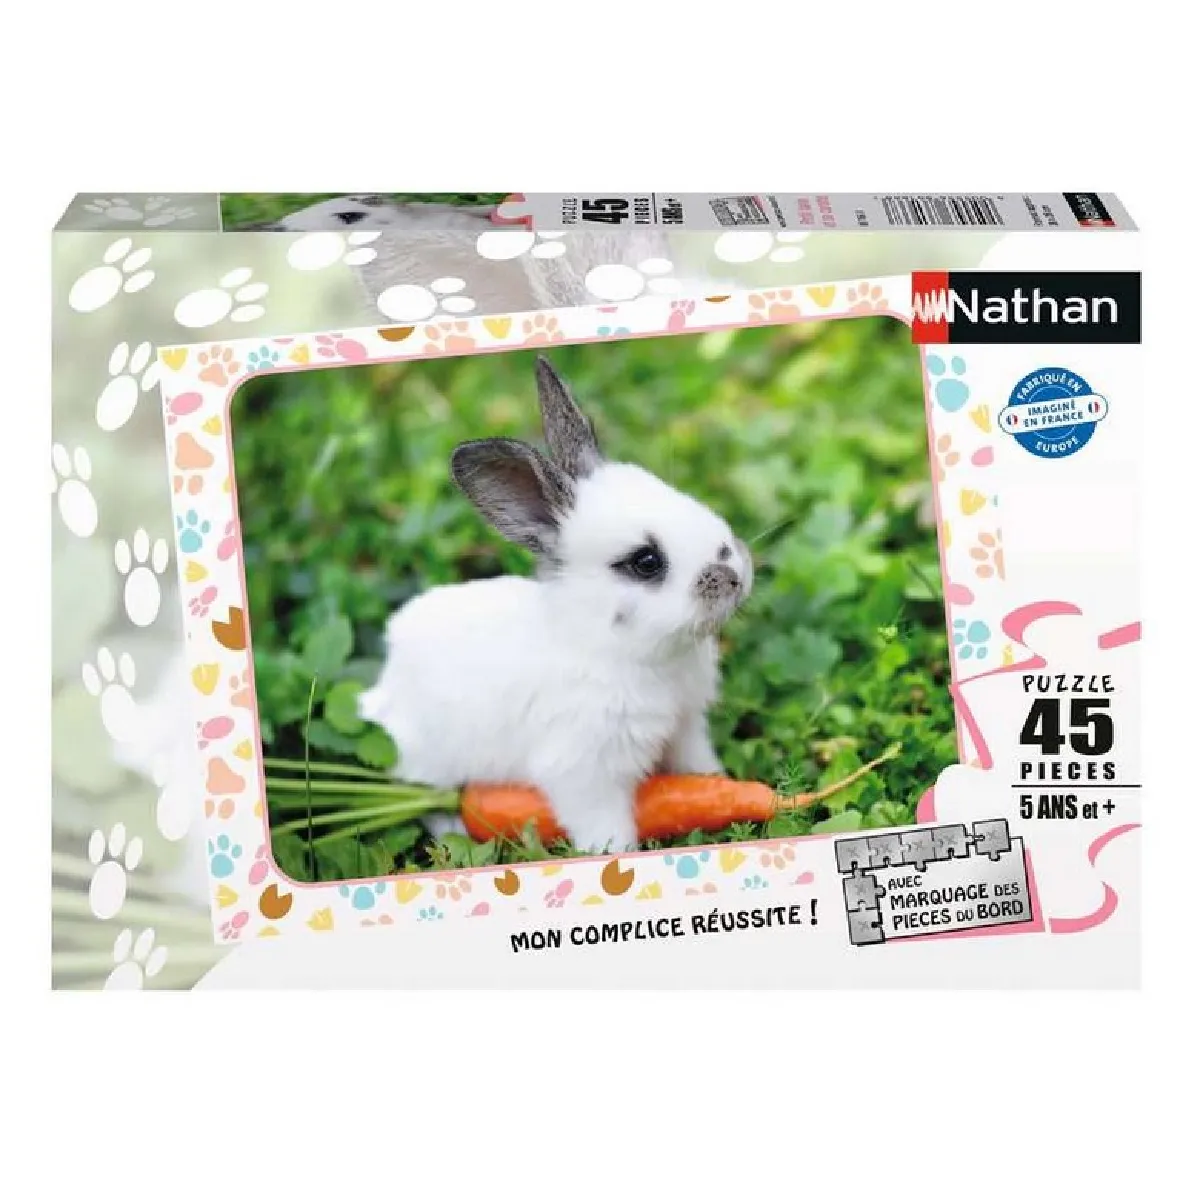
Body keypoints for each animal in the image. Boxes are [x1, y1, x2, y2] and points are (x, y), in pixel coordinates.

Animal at [357, 356, 753, 854]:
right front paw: (616, 854)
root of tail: (384, 690)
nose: (734, 573)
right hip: (433, 764)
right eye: (646, 562)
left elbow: (697, 768)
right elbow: (606, 826)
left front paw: (721, 785)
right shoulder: (584, 773)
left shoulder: (686, 727)